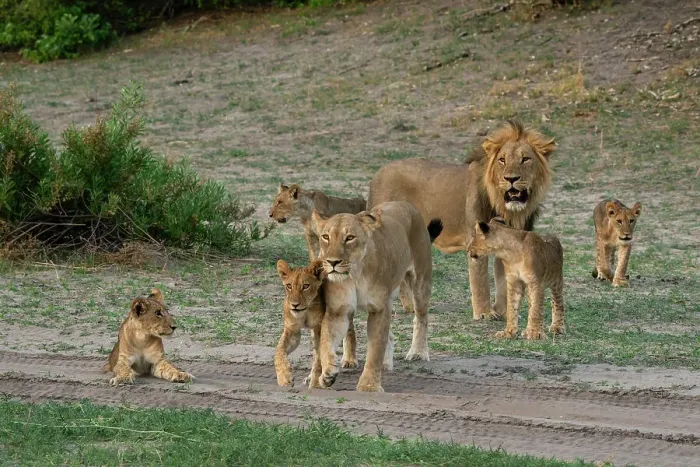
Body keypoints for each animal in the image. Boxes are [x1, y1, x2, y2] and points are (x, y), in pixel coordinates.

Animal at [274, 259, 358, 388]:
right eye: (289, 286)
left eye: (305, 286)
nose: (295, 305)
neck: (306, 311)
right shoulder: (292, 330)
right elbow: (278, 351)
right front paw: (284, 377)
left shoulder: (320, 329)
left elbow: (319, 359)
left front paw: (316, 384)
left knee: (350, 329)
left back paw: (349, 359)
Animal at [311, 201, 443, 392]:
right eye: (326, 237)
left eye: (350, 237)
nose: (332, 262)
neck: (355, 274)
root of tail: (405, 204)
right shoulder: (337, 310)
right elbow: (326, 342)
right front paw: (327, 374)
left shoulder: (379, 309)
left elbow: (375, 350)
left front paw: (369, 386)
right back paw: (386, 363)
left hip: (421, 281)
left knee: (421, 317)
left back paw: (418, 352)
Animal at [368, 120, 555, 321]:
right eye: (502, 160)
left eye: (525, 159)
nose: (510, 179)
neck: (508, 210)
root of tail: (377, 174)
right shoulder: (476, 240)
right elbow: (480, 280)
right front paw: (484, 313)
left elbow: (504, 281)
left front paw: (504, 312)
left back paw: (410, 306)